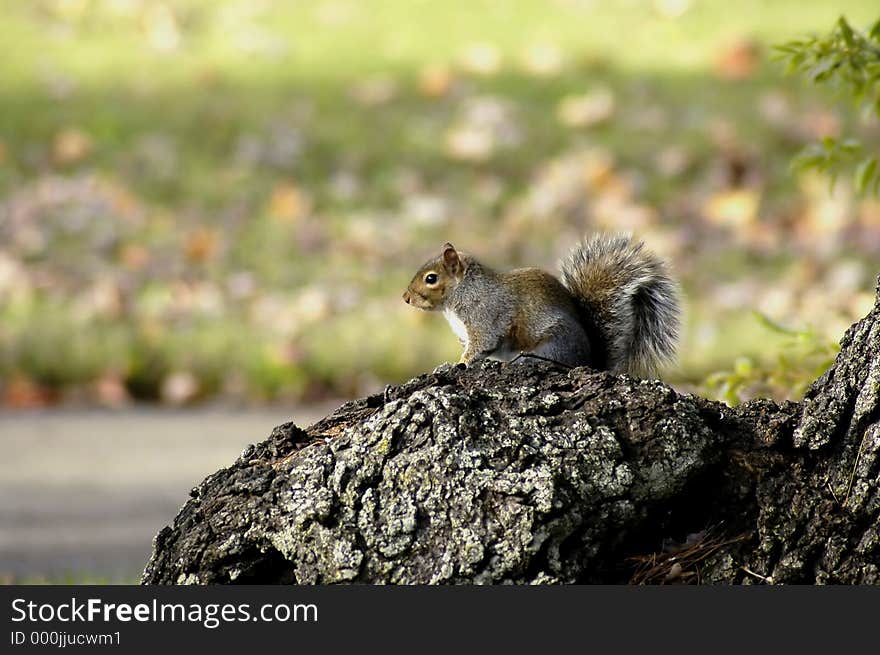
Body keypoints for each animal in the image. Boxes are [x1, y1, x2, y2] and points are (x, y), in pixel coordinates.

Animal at [402, 236, 684, 380]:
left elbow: (482, 345)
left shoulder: (486, 316)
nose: (406, 298)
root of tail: (592, 362)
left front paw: (458, 364)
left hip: (547, 348)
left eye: (431, 278)